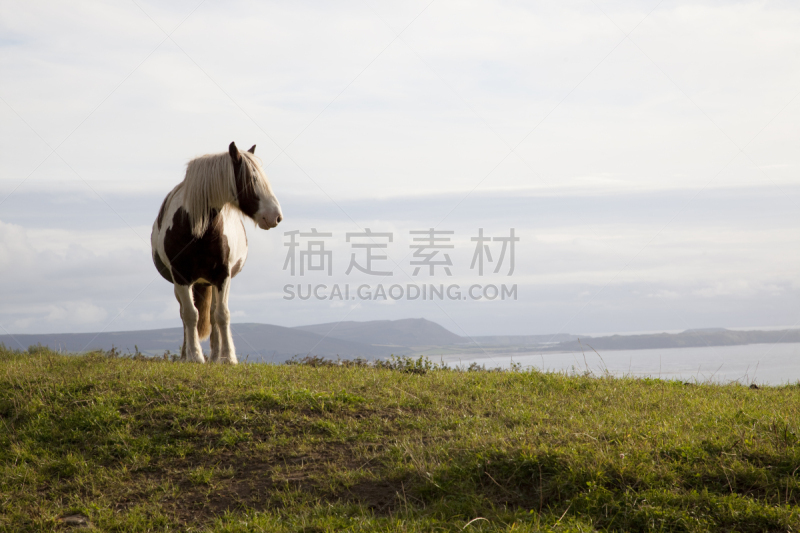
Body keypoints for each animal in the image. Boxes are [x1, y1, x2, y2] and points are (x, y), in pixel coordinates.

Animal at [152, 143, 282, 364]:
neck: (197, 232)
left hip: (211, 282)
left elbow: (222, 315)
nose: (276, 216)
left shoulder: (222, 276)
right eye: (252, 179)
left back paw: (215, 356)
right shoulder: (181, 277)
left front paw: (228, 357)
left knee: (213, 315)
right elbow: (190, 315)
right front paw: (195, 356)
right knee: (186, 315)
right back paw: (187, 355)